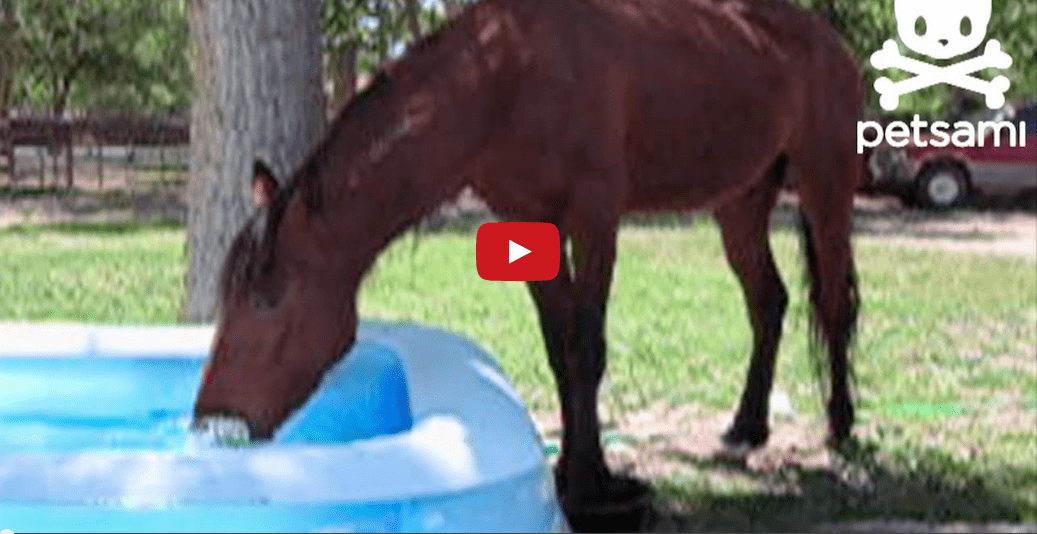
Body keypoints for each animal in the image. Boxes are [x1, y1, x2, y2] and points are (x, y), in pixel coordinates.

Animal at [194, 0, 864, 524]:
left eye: (268, 299)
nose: (211, 418)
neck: (505, 78)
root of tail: (827, 39)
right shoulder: (526, 224)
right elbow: (560, 348)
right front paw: (570, 471)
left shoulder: (595, 217)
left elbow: (587, 348)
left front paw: (593, 486)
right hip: (740, 202)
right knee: (769, 302)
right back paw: (748, 426)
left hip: (825, 182)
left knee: (833, 302)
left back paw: (840, 424)